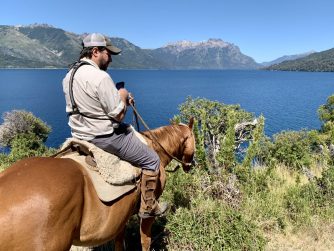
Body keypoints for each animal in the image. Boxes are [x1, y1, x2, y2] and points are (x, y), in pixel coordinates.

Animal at [0, 118, 196, 251]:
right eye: (194, 139)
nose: (190, 165)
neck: (155, 149)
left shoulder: (121, 216)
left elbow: (119, 241)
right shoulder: (148, 213)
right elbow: (145, 240)